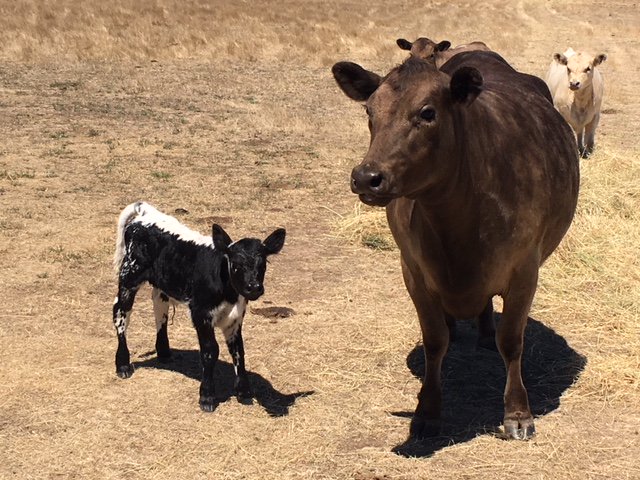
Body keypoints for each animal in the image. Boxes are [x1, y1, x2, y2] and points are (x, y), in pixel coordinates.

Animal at [112, 201, 286, 411]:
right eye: (236, 263)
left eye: (263, 263)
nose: (254, 287)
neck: (227, 291)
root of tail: (145, 212)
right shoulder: (200, 314)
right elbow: (210, 351)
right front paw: (207, 396)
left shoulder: (235, 318)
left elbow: (239, 350)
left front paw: (244, 392)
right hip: (129, 276)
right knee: (121, 313)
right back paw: (123, 365)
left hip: (162, 283)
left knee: (160, 309)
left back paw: (164, 352)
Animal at [332, 50, 579, 440]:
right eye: (369, 111)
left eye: (427, 112)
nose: (366, 177)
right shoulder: (413, 272)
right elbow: (435, 341)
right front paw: (428, 411)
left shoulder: (525, 271)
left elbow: (512, 341)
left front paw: (517, 413)